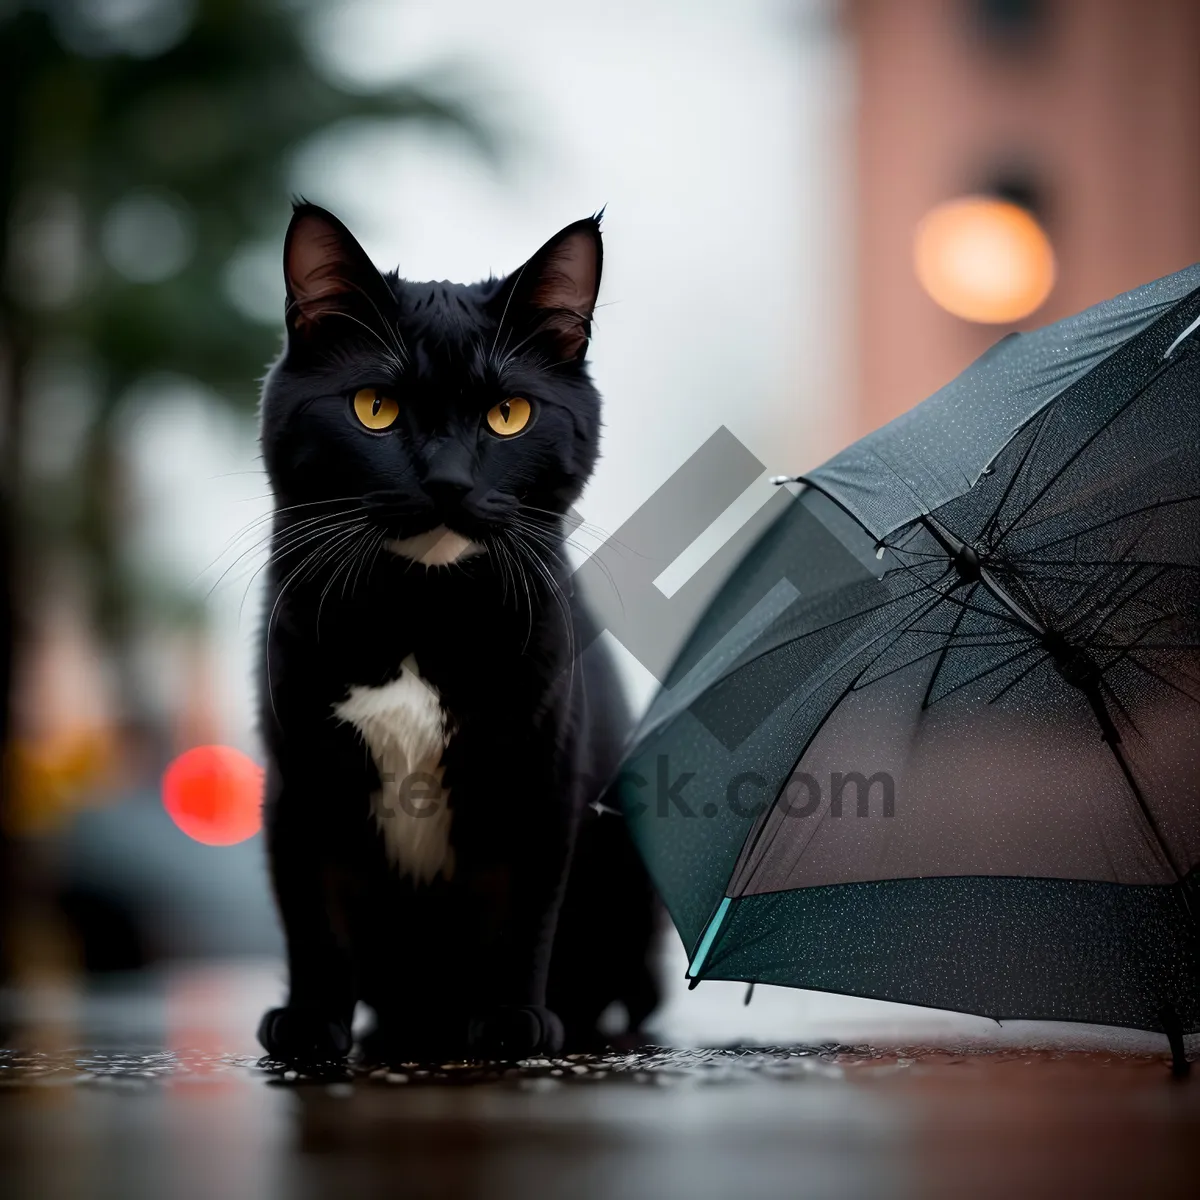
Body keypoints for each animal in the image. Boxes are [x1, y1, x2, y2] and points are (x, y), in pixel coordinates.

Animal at [256, 201, 662, 1065]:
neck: (422, 613)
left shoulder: (541, 775)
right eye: (374, 407)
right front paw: (309, 1023)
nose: (447, 480)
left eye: (508, 415)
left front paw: (513, 1022)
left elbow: (521, 913)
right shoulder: (301, 780)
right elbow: (313, 915)